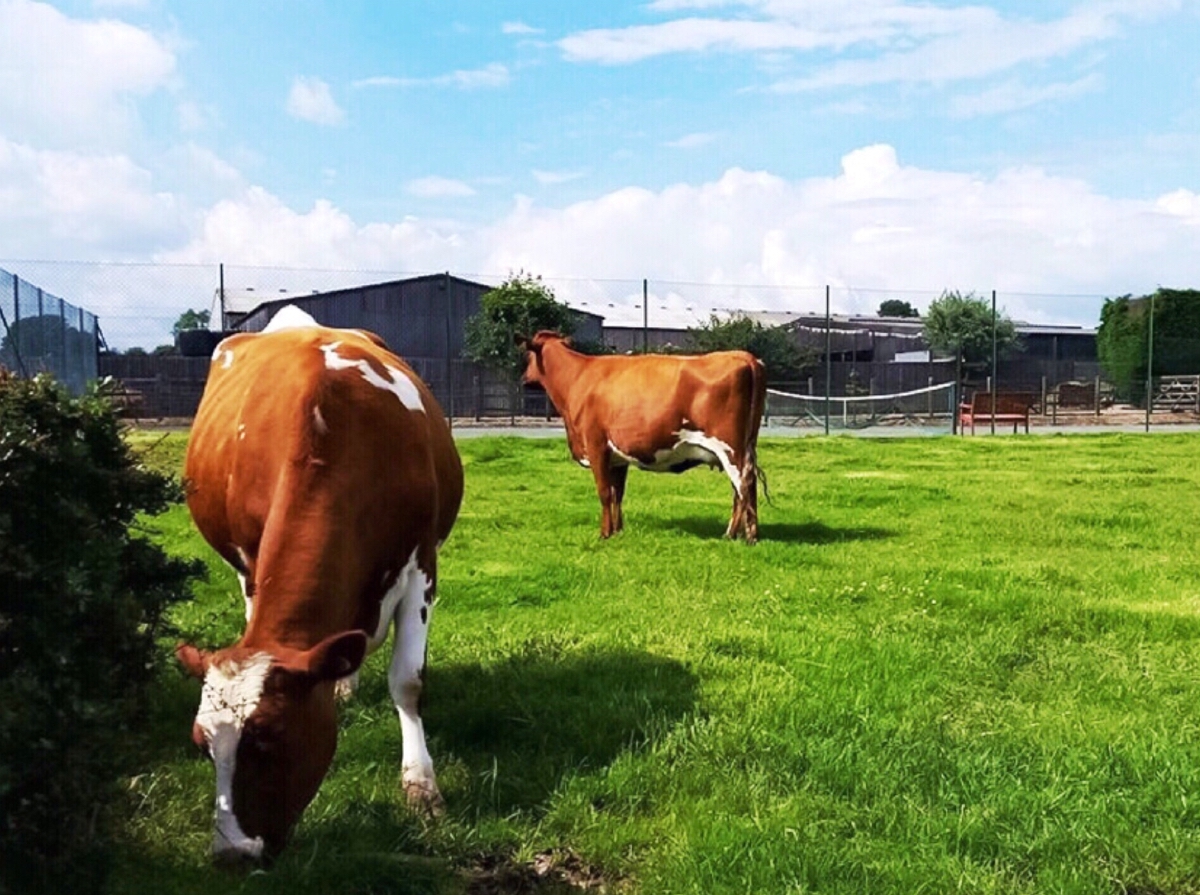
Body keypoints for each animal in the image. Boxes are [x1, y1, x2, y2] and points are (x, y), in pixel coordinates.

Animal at [175, 303, 460, 859]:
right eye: (202, 746)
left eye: (271, 737)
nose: (232, 854)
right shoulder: (253, 558)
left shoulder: (421, 566)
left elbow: (408, 681)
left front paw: (421, 786)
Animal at [513, 328, 758, 537]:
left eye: (528, 356)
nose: (523, 379)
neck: (578, 377)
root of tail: (745, 357)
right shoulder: (618, 456)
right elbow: (617, 494)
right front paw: (618, 530)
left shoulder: (595, 446)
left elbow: (604, 492)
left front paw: (604, 533)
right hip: (744, 448)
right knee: (747, 487)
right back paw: (748, 534)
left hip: (730, 449)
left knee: (742, 486)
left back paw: (734, 535)